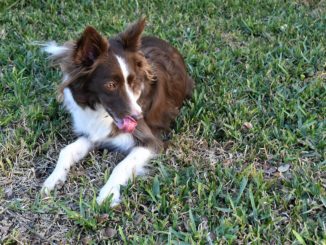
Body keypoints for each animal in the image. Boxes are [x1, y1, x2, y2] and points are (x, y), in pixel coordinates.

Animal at [40, 17, 194, 206]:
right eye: (111, 85)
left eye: (133, 82)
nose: (138, 116)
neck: (100, 111)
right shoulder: (93, 134)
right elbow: (66, 150)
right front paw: (53, 179)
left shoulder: (151, 141)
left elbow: (122, 165)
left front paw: (107, 194)